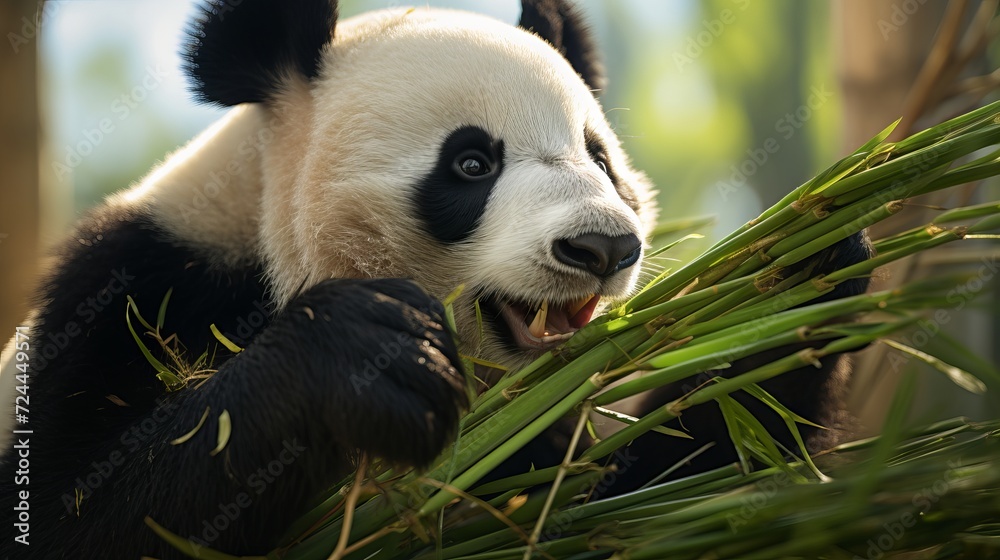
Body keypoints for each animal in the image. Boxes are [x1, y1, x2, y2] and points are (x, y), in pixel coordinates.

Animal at [0, 0, 871, 558]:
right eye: (471, 163)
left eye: (598, 158)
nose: (601, 248)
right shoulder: (135, 294)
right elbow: (88, 512)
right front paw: (371, 355)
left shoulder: (537, 435)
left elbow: (659, 494)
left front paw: (804, 259)